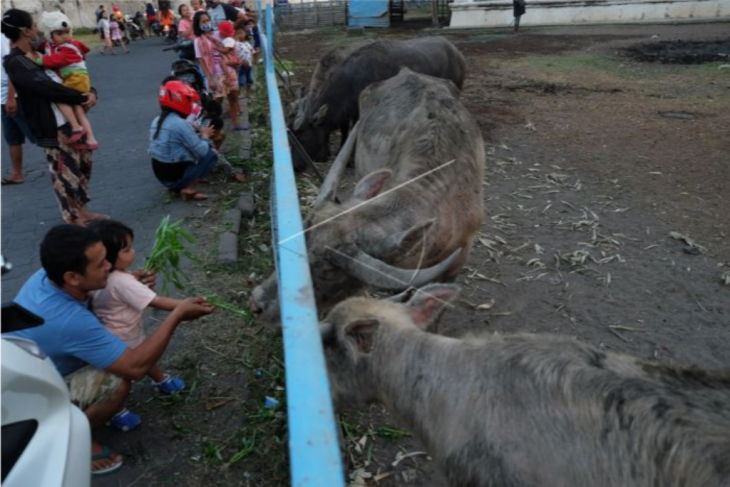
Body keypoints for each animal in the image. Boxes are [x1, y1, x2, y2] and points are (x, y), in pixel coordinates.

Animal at [288, 35, 464, 172]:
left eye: (301, 137)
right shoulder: (351, 111)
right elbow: (346, 130)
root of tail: (456, 52)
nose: (295, 167)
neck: (356, 80)